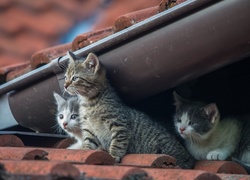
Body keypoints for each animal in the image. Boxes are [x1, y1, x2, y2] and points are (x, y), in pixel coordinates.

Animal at [63, 51, 195, 169]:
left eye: (75, 78)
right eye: (65, 77)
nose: (65, 85)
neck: (89, 103)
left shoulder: (119, 125)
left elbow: (117, 144)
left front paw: (113, 156)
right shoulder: (89, 129)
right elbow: (88, 143)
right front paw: (84, 152)